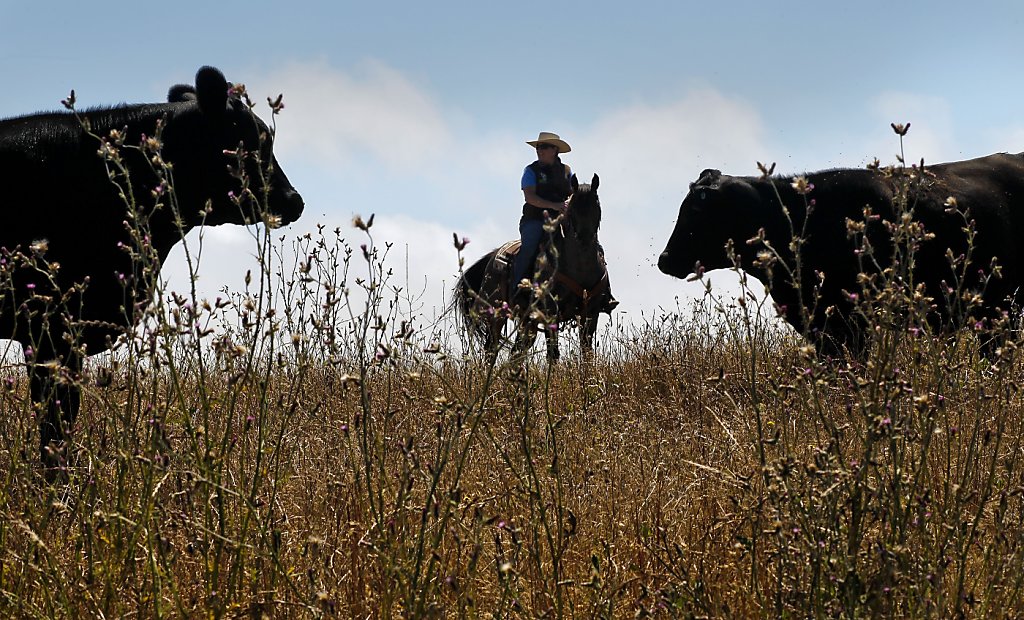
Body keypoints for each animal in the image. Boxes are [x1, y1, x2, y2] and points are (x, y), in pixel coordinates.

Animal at [454, 172, 610, 360]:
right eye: (572, 208)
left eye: (597, 207)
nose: (585, 239)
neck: (580, 268)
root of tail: (493, 256)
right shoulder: (551, 313)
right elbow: (553, 353)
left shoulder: (591, 313)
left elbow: (587, 352)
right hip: (497, 315)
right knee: (492, 348)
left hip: (528, 321)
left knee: (517, 350)